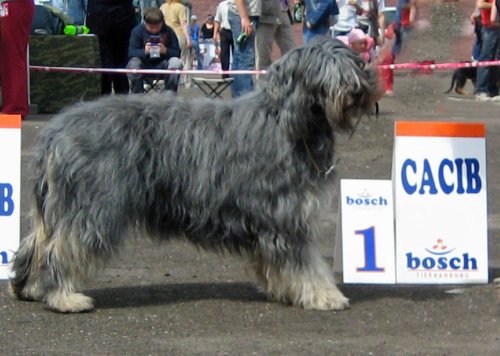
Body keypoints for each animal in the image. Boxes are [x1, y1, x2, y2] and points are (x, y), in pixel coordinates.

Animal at [10, 37, 378, 312]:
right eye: (328, 71)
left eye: (355, 64)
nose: (358, 90)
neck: (290, 121)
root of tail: (55, 130)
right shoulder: (286, 214)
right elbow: (306, 264)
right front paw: (325, 295)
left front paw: (284, 290)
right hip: (94, 208)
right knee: (64, 248)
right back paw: (64, 297)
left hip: (59, 207)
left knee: (36, 243)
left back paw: (28, 288)